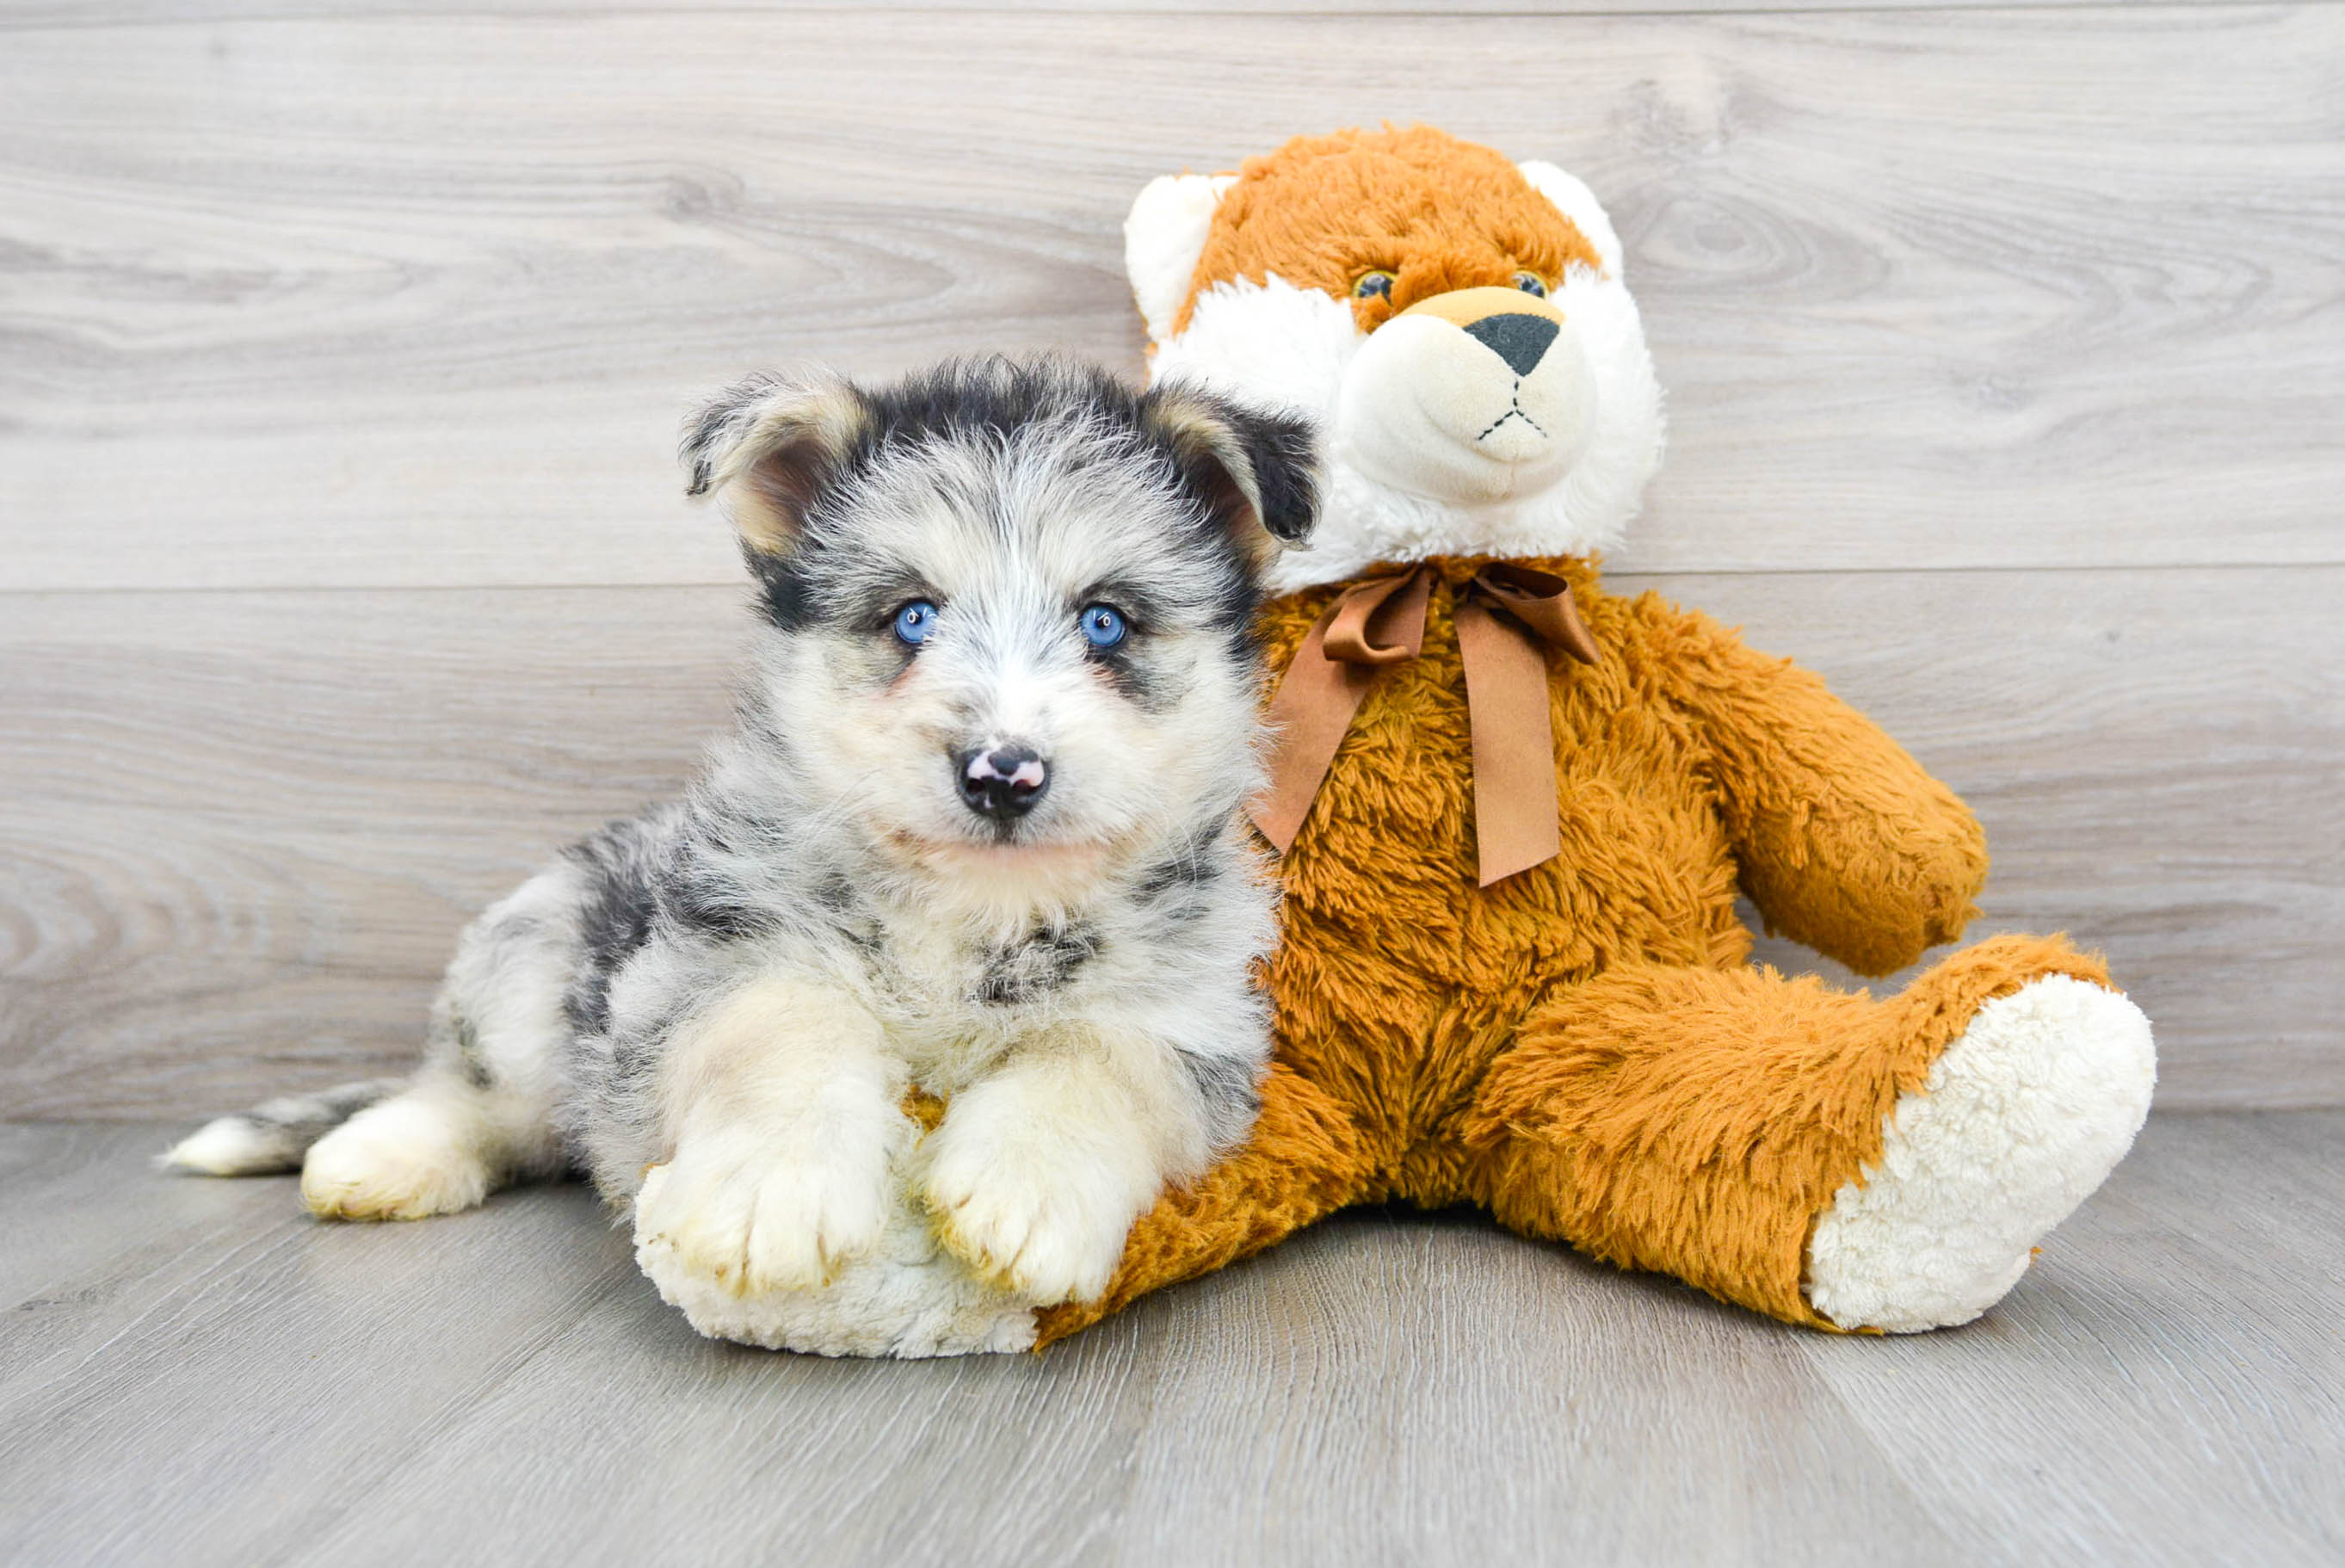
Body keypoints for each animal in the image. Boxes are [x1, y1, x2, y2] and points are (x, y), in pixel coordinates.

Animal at [170, 361, 1322, 1312]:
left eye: (1104, 623)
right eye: (912, 617)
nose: (1002, 775)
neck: (970, 913)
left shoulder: (1196, 1024)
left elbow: (1101, 1060)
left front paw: (1025, 1188)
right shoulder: (712, 957)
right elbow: (784, 1026)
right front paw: (775, 1188)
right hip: (535, 959)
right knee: (483, 1101)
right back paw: (381, 1157)